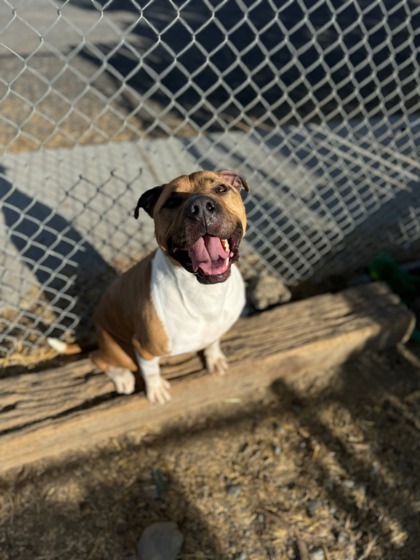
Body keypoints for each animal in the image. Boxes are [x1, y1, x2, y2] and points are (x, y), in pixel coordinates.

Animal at [50, 171, 251, 402]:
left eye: (221, 189)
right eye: (171, 202)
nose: (200, 206)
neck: (204, 294)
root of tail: (97, 332)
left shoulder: (216, 328)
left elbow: (213, 342)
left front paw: (214, 358)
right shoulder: (144, 349)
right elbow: (151, 371)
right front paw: (156, 390)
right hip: (122, 352)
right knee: (97, 357)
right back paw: (122, 378)